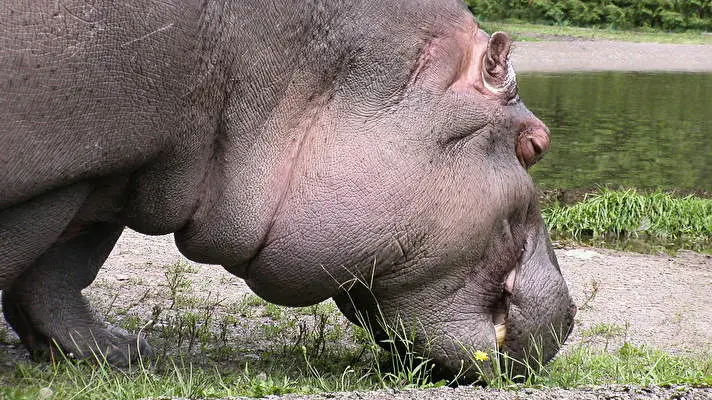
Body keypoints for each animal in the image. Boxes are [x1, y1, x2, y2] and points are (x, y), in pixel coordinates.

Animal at [0, 0, 575, 381]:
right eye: (536, 145)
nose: (571, 318)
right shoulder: (65, 170)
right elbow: (39, 260)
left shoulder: (120, 167)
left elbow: (63, 268)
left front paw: (125, 354)